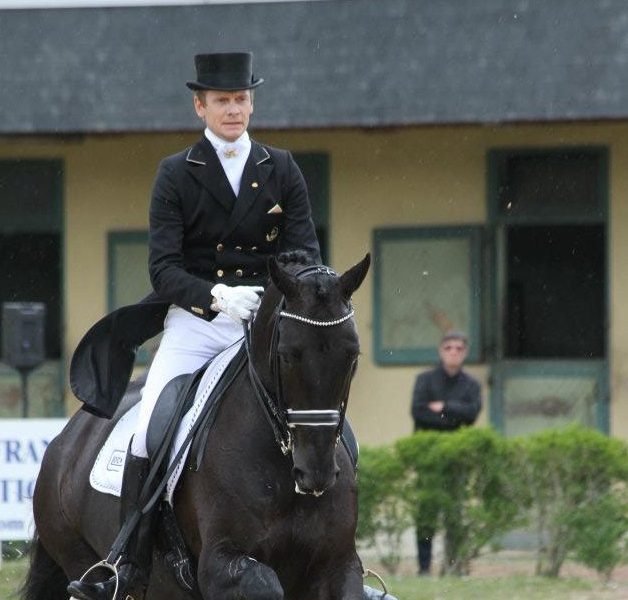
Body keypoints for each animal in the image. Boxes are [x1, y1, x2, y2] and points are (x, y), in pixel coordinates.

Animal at [22, 251, 372, 600]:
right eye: (286, 356)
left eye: (353, 356)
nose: (316, 473)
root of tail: (66, 439)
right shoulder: (217, 566)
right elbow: (264, 584)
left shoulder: (339, 566)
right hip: (78, 554)